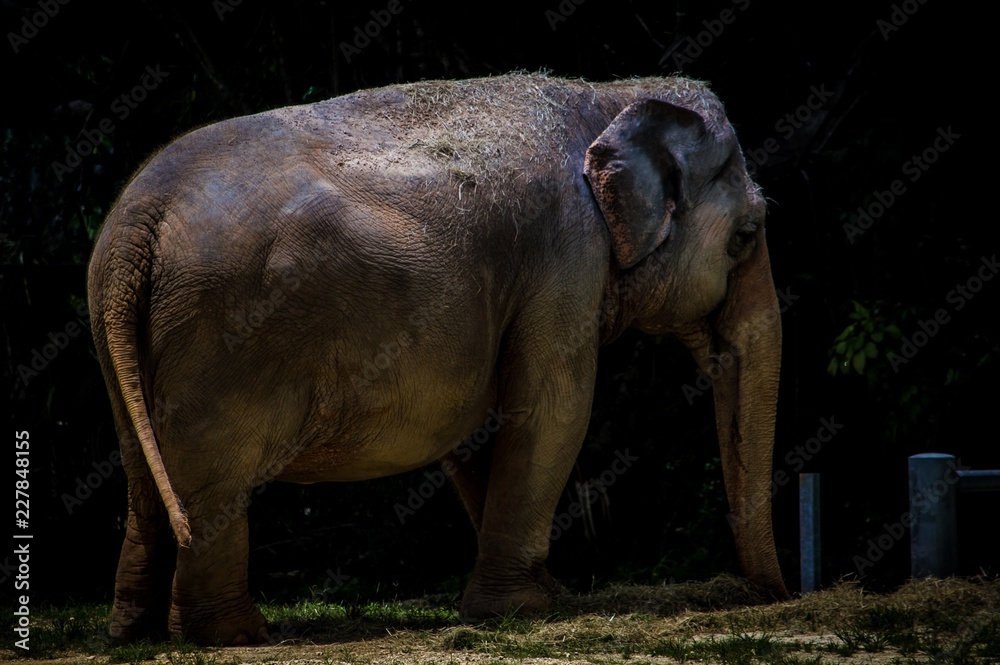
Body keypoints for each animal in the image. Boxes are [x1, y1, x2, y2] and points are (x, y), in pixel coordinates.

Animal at [87, 72, 787, 645]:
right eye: (746, 235)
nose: (766, 598)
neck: (611, 95)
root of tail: (136, 222)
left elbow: (485, 434)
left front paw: (536, 596)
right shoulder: (565, 258)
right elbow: (552, 411)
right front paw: (526, 609)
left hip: (119, 331)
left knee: (143, 476)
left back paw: (135, 631)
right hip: (225, 331)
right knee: (215, 483)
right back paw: (238, 636)